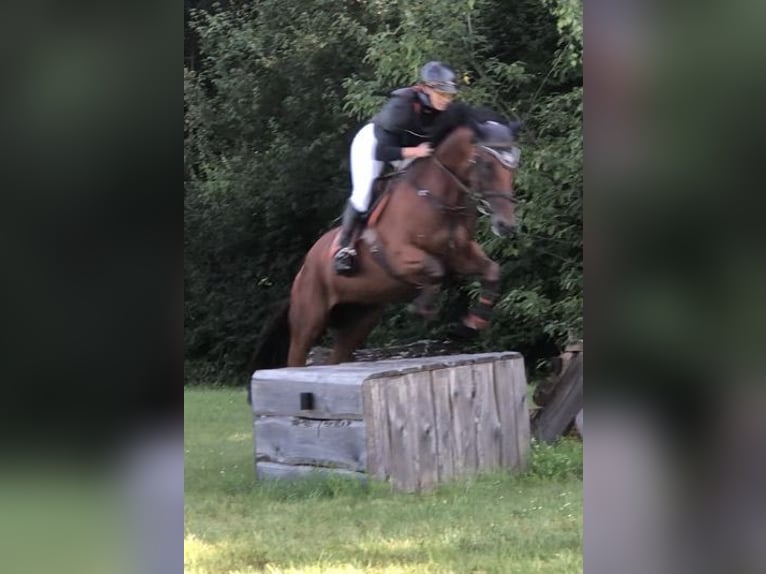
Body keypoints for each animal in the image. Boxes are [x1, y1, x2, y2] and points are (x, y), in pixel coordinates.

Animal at [249, 104, 524, 382]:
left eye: (514, 165)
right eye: (487, 164)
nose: (506, 225)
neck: (438, 198)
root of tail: (304, 267)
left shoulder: (461, 254)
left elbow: (491, 271)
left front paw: (473, 324)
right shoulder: (400, 256)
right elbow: (435, 269)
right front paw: (423, 308)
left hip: (360, 319)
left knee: (338, 355)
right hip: (310, 318)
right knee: (296, 357)